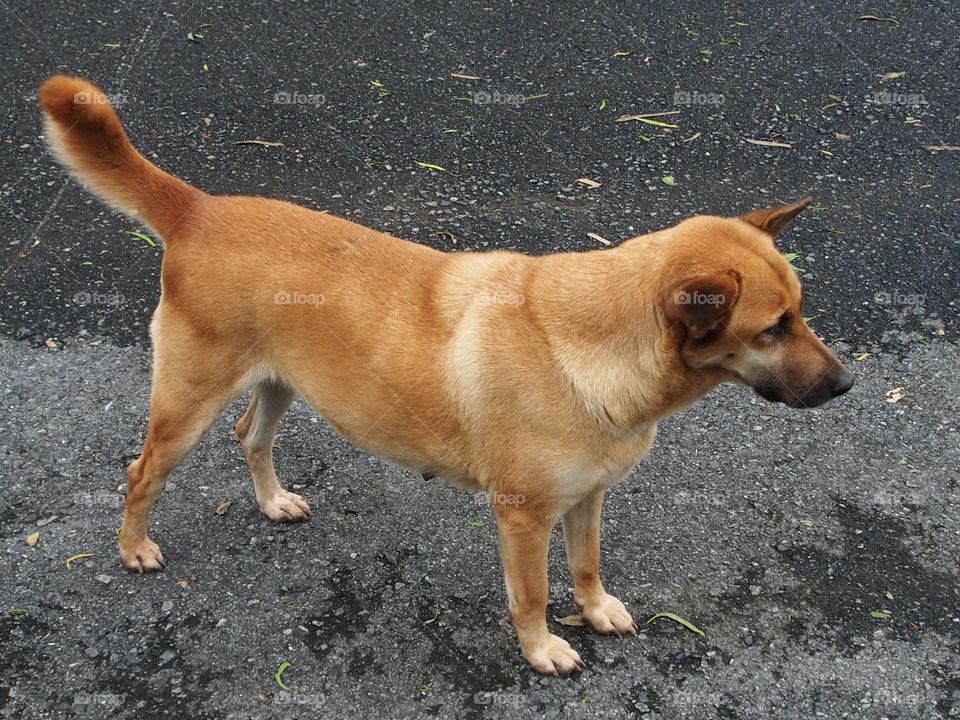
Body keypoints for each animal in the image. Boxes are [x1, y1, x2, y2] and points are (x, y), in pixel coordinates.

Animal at [39, 77, 856, 676]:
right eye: (773, 327)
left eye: (801, 312)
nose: (847, 385)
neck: (591, 342)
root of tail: (200, 209)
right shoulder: (523, 516)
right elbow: (531, 596)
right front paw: (542, 648)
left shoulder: (588, 498)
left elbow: (587, 566)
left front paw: (594, 611)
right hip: (186, 407)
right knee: (141, 471)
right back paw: (133, 548)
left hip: (280, 385)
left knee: (250, 437)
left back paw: (272, 502)